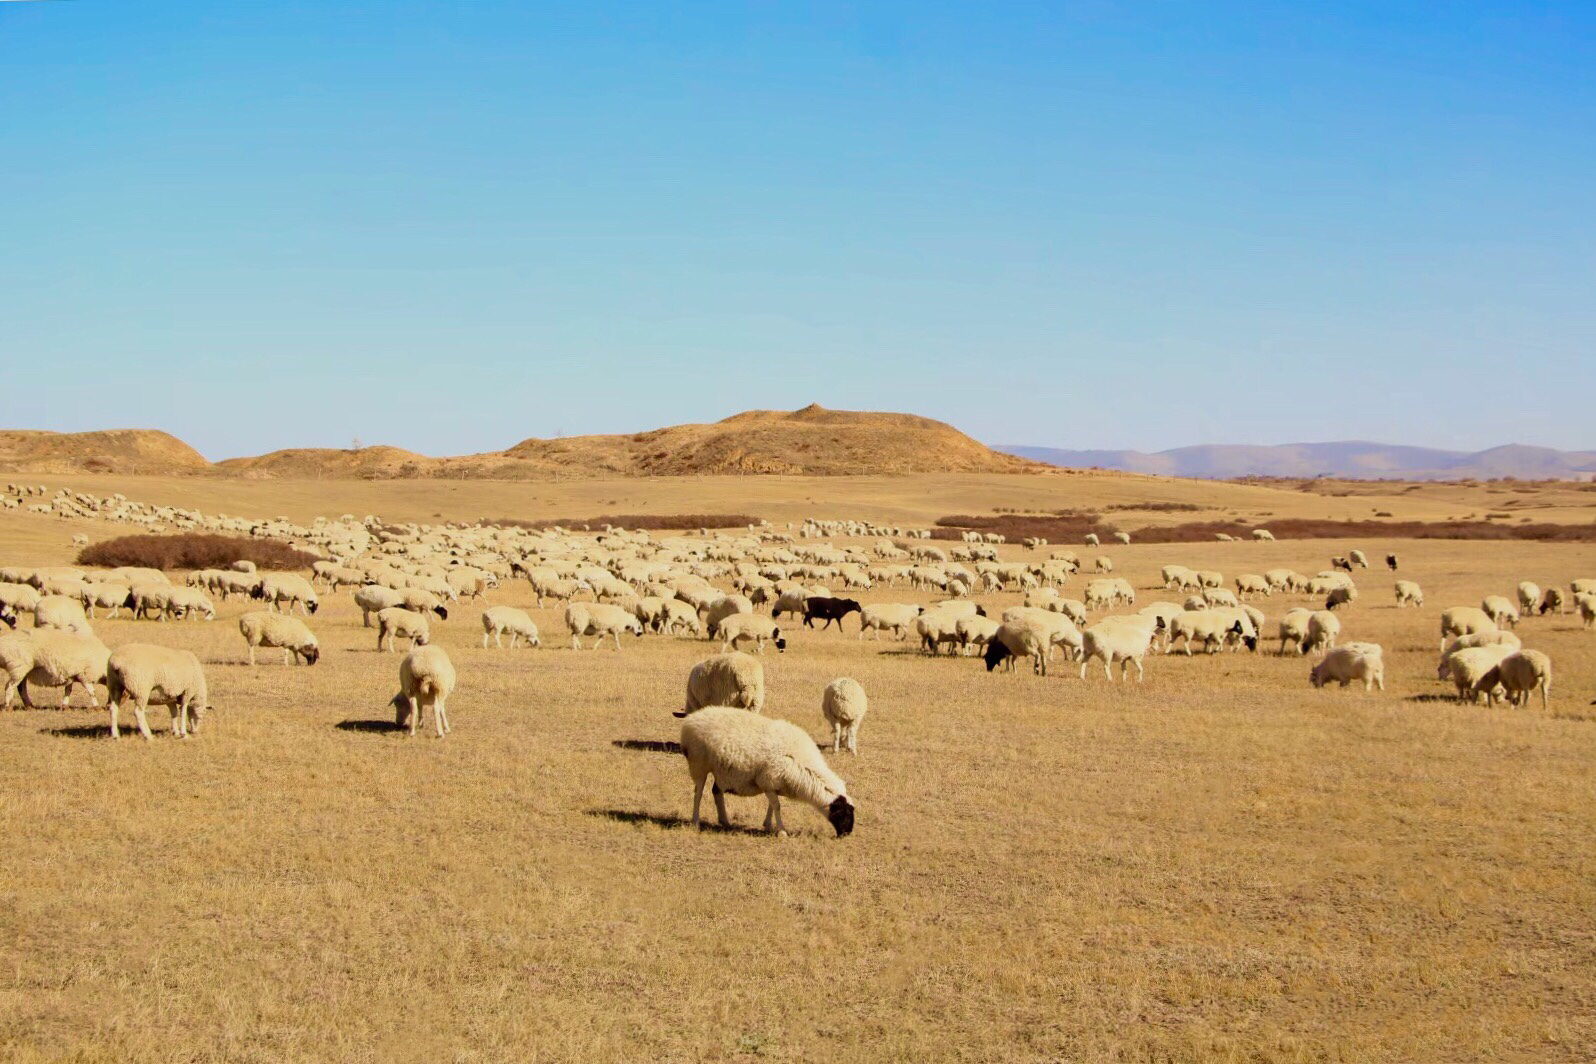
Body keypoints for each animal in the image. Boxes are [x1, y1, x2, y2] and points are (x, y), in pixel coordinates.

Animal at [679, 708, 855, 842]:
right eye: (844, 815)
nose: (847, 834)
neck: (802, 762)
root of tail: (691, 719)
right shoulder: (768, 780)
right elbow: (777, 806)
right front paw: (782, 831)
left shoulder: (773, 783)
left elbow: (772, 805)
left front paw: (769, 825)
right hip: (699, 764)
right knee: (698, 794)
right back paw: (695, 821)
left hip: (721, 770)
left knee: (716, 791)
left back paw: (725, 821)